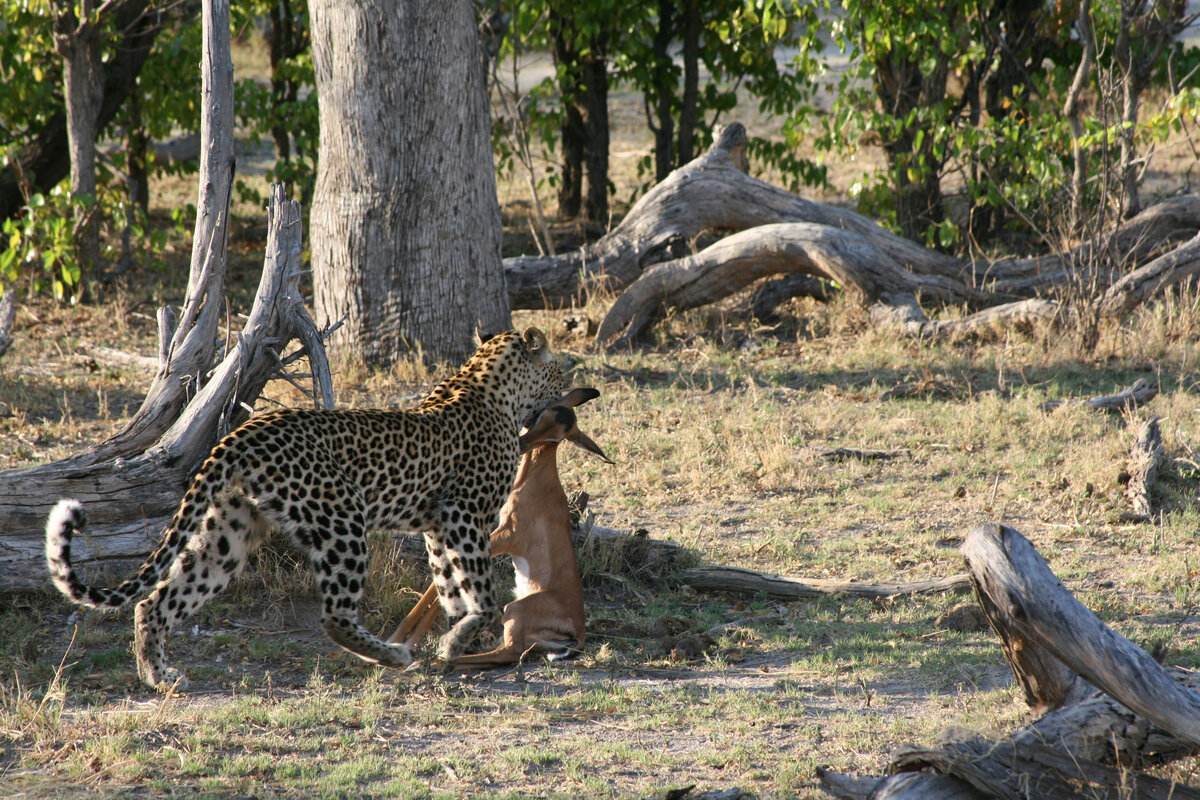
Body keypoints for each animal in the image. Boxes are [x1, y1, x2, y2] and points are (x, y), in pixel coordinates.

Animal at [46, 328, 566, 690]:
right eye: (559, 371)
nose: (569, 390)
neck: (491, 386)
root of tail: (242, 432)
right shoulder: (464, 514)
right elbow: (481, 589)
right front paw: (459, 638)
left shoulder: (437, 525)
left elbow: (448, 584)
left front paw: (455, 638)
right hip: (342, 519)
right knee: (334, 615)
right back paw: (392, 654)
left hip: (228, 535)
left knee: (155, 600)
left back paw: (158, 676)